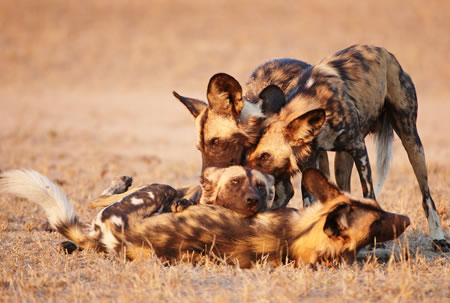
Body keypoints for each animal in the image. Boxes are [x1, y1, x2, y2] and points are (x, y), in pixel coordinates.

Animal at [246, 43, 450, 252]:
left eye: (265, 156)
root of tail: (386, 52)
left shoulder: (359, 150)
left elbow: (369, 193)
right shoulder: (311, 162)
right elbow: (310, 202)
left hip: (411, 140)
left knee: (426, 196)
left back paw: (438, 238)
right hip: (341, 161)